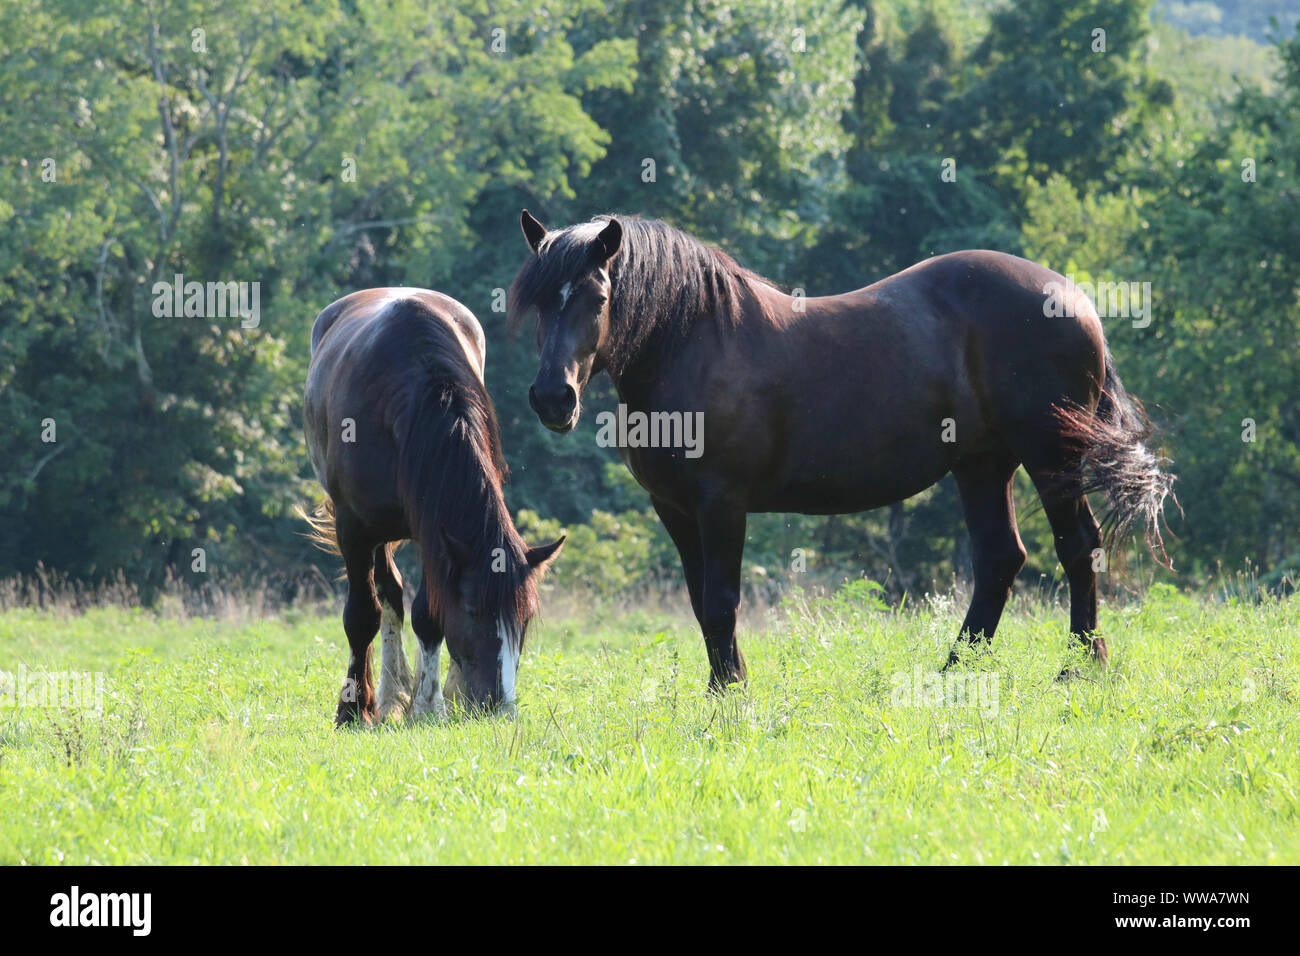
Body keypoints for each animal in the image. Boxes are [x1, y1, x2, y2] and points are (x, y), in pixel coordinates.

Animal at [306, 290, 566, 723]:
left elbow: (429, 614)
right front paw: (353, 708)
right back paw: (386, 696)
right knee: (386, 597)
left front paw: (430, 704)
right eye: (475, 611)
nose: (500, 706)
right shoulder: (353, 528)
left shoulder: (433, 530)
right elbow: (362, 615)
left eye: (525, 617)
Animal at [509, 210, 1180, 686]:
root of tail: (1077, 299)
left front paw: (731, 694)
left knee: (1077, 547)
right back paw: (953, 673)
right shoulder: (673, 508)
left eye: (598, 299)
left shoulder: (722, 503)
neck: (693, 342)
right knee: (1000, 558)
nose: (552, 398)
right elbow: (701, 605)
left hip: (1050, 456)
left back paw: (1078, 667)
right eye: (538, 302)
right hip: (982, 464)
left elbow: (722, 601)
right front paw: (725, 684)